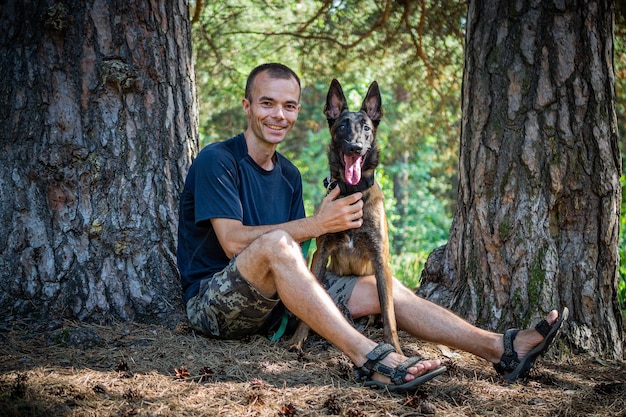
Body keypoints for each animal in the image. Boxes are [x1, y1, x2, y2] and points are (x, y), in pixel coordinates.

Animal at [288, 77, 400, 352]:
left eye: (366, 128)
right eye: (341, 127)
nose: (355, 147)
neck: (352, 192)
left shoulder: (381, 260)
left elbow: (388, 314)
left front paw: (397, 349)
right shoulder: (320, 253)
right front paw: (297, 340)